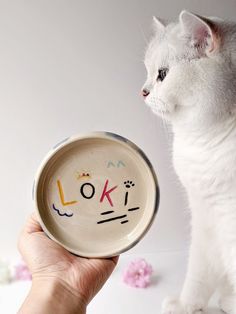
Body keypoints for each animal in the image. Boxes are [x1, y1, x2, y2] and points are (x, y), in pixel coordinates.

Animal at [143, 9, 236, 314]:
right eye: (148, 71)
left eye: (162, 74)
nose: (143, 92)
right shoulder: (204, 216)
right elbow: (198, 274)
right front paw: (186, 306)